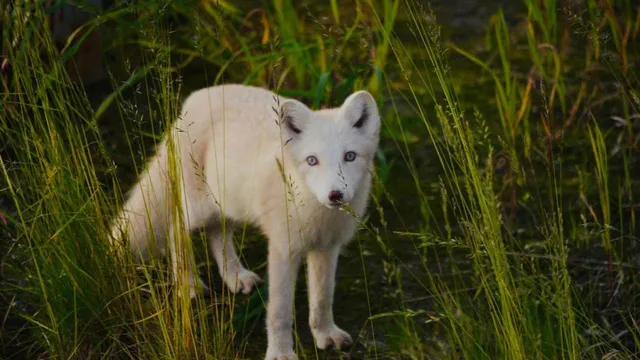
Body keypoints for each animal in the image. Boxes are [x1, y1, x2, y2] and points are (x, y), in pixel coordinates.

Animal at [109, 84, 380, 360]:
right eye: (312, 160)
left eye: (350, 156)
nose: (335, 195)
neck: (316, 211)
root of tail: (196, 97)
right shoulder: (283, 248)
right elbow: (280, 312)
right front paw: (281, 353)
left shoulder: (327, 248)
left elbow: (323, 299)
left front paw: (325, 335)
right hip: (198, 209)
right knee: (176, 229)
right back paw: (188, 283)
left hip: (228, 207)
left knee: (217, 235)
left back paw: (235, 276)